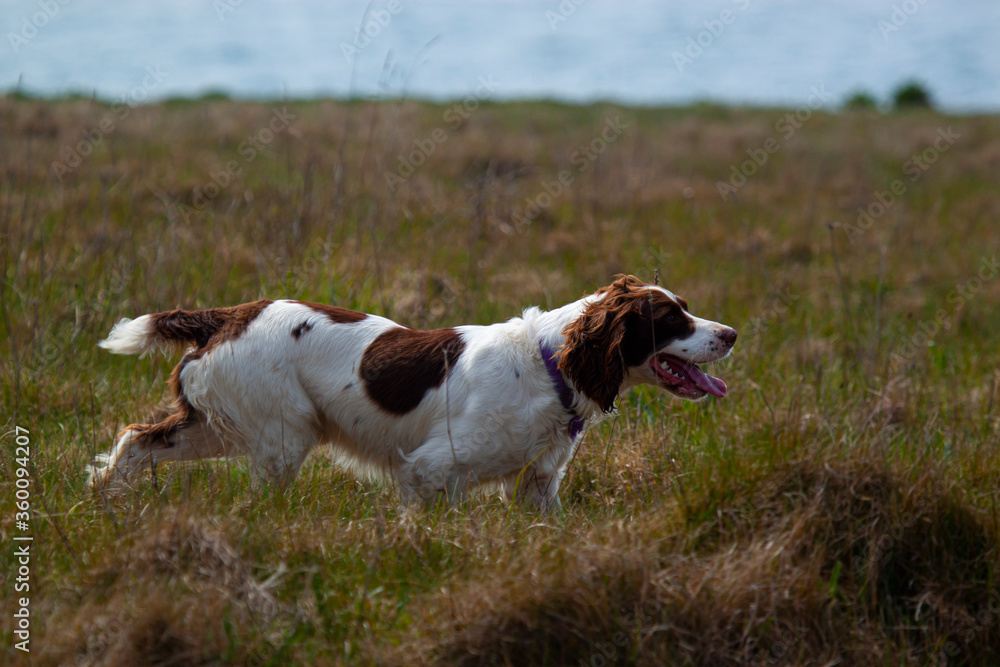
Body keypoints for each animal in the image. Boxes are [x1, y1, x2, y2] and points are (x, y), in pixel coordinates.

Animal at [92, 276, 736, 512]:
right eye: (671, 319)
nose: (730, 334)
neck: (548, 364)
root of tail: (227, 316)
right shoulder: (430, 469)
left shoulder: (537, 484)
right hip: (282, 436)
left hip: (216, 424)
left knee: (133, 440)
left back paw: (105, 502)